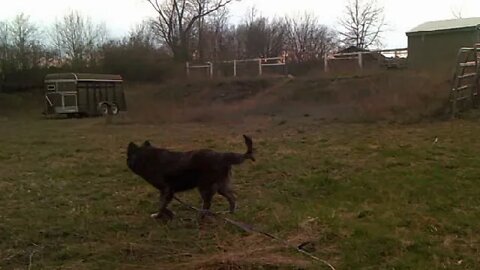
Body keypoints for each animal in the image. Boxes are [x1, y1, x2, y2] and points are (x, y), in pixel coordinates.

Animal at [126, 135, 255, 219]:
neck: (146, 158)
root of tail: (222, 156)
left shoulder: (166, 189)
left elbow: (161, 205)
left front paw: (159, 215)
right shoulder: (167, 191)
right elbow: (163, 204)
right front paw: (168, 214)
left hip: (204, 187)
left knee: (207, 204)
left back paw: (200, 217)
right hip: (220, 187)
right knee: (232, 198)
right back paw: (229, 213)